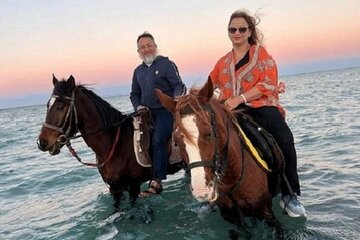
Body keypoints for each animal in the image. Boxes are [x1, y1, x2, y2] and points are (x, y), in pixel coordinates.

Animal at [37, 75, 183, 204]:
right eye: (47, 106)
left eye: (60, 107)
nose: (41, 142)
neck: (114, 143)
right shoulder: (115, 189)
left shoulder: (133, 186)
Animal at [157, 79, 284, 234]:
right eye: (176, 141)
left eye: (209, 133)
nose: (202, 191)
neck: (232, 180)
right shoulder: (231, 217)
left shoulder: (267, 214)